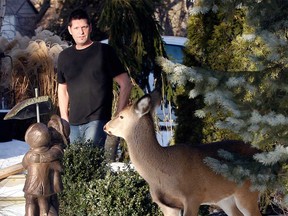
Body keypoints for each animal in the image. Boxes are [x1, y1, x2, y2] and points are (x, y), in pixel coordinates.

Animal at [104, 90, 264, 216]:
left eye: (121, 116)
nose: (106, 126)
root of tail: (260, 152)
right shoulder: (167, 206)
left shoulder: (193, 196)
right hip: (225, 199)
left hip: (247, 191)